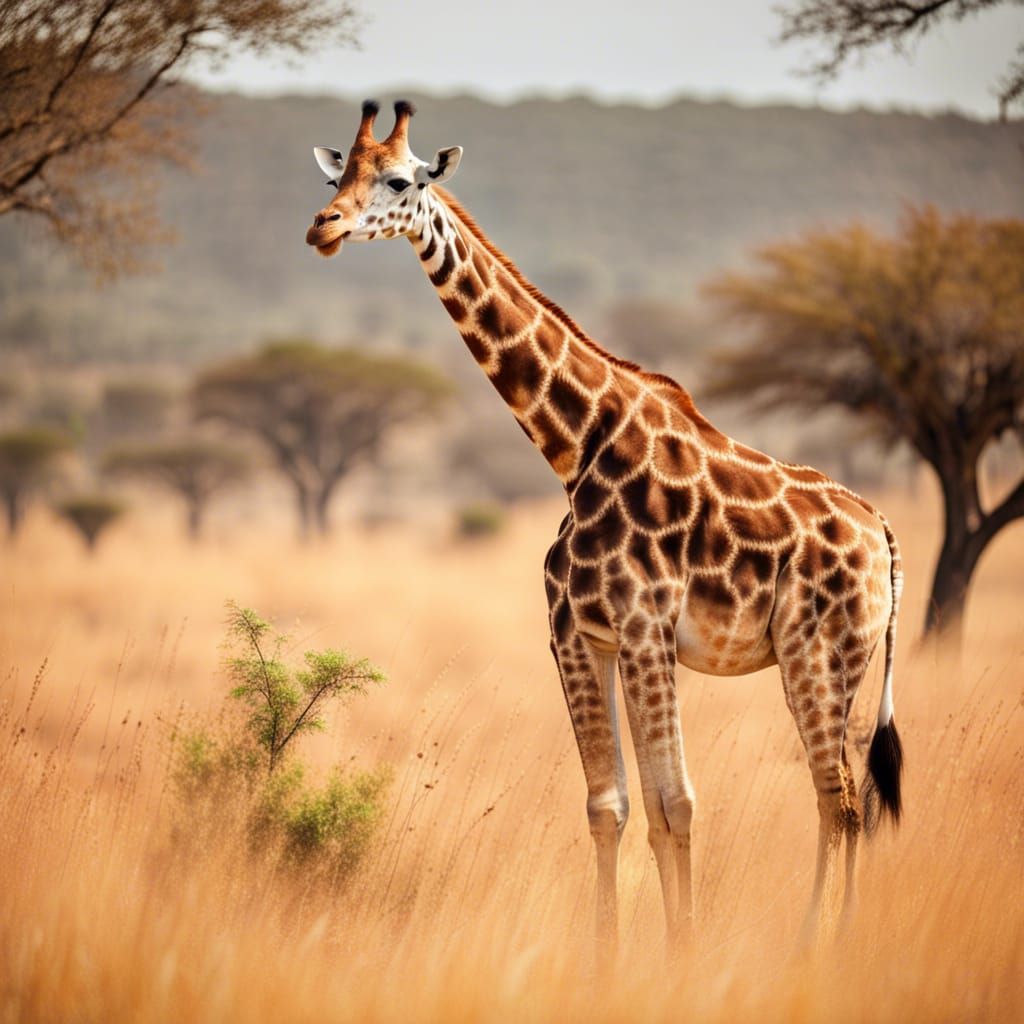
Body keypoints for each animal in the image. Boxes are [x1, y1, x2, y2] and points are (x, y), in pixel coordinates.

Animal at [304, 100, 905, 953]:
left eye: (398, 181)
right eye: (335, 179)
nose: (322, 227)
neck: (576, 446)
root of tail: (883, 533)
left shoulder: (646, 631)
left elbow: (676, 803)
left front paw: (683, 953)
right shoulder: (582, 636)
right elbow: (612, 807)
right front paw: (609, 957)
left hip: (819, 654)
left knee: (841, 798)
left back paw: (817, 945)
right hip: (839, 662)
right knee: (846, 798)